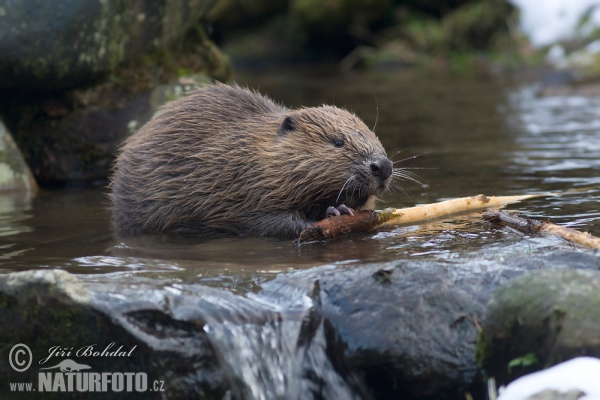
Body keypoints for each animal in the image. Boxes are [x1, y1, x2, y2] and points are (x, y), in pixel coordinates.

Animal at [110, 83, 396, 238]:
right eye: (337, 142)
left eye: (373, 135)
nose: (383, 166)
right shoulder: (239, 189)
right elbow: (262, 220)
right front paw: (331, 214)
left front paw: (341, 208)